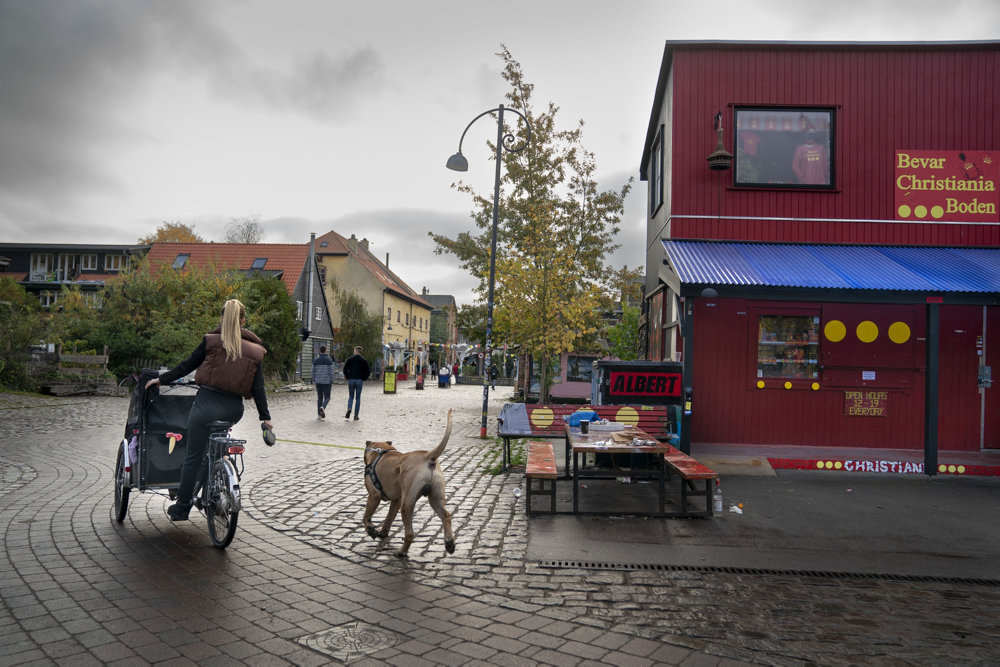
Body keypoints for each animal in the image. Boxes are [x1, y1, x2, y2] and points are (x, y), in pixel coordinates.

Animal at [364, 408, 458, 560]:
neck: (381, 452)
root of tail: (428, 456)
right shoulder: (396, 501)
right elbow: (389, 518)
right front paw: (383, 532)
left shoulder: (373, 496)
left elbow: (366, 516)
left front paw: (370, 529)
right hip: (435, 498)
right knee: (446, 516)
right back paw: (449, 543)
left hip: (407, 504)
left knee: (409, 533)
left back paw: (402, 551)